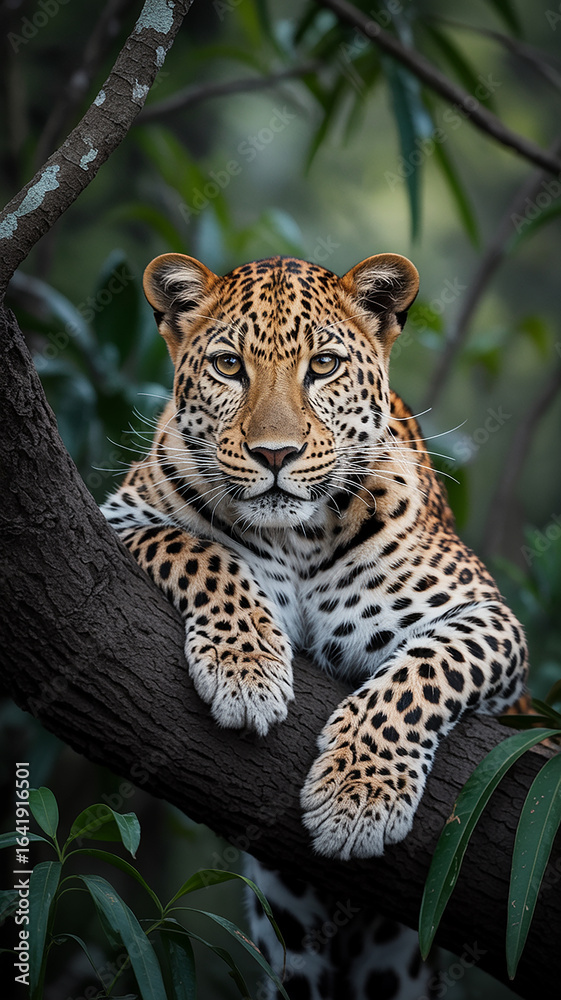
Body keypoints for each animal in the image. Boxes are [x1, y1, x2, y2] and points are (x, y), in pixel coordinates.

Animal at [101, 251, 527, 999]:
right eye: (229, 366)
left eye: (323, 365)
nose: (275, 454)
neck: (297, 539)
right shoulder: (117, 519)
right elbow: (200, 549)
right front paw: (247, 673)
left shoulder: (489, 618)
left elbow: (426, 668)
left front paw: (356, 798)